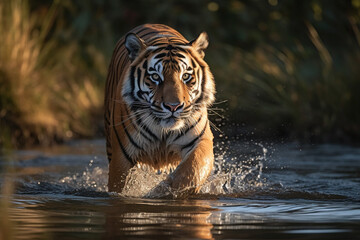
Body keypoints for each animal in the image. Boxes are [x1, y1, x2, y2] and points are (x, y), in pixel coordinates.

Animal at [105, 23, 217, 197]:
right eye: (155, 77)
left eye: (186, 76)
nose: (173, 106)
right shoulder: (121, 156)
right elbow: (118, 186)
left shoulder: (201, 140)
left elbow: (192, 170)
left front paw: (163, 191)